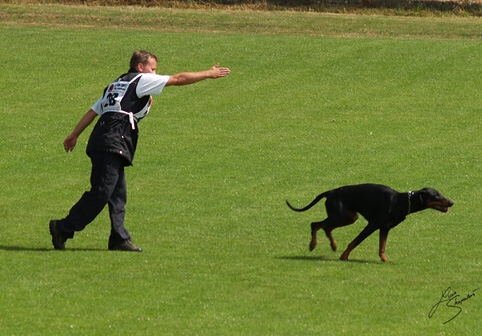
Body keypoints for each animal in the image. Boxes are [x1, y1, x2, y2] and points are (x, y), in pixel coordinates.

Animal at [288, 184, 454, 262]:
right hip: (339, 216)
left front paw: (385, 260)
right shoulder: (372, 225)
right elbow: (354, 242)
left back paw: (333, 245)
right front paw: (344, 257)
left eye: (440, 193)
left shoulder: (385, 229)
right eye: (436, 196)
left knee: (326, 227)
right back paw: (312, 245)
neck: (400, 202)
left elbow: (382, 247)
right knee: (315, 224)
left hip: (349, 218)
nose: (452, 202)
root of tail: (330, 192)